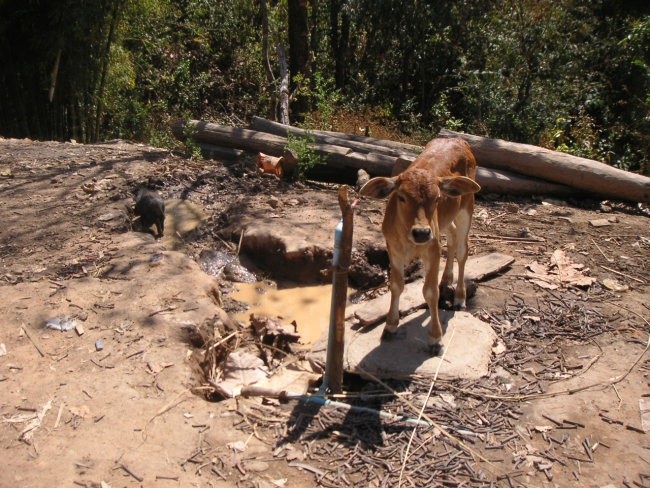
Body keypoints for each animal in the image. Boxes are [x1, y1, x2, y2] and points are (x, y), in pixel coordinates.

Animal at [360, 137, 480, 354]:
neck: (409, 240)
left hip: (467, 207)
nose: (422, 233)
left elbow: (430, 292)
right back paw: (446, 278)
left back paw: (459, 297)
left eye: (437, 198)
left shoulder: (432, 250)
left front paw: (435, 338)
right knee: (452, 237)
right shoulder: (393, 250)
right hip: (445, 221)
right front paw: (390, 326)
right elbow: (396, 286)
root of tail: (458, 139)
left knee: (462, 250)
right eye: (401, 197)